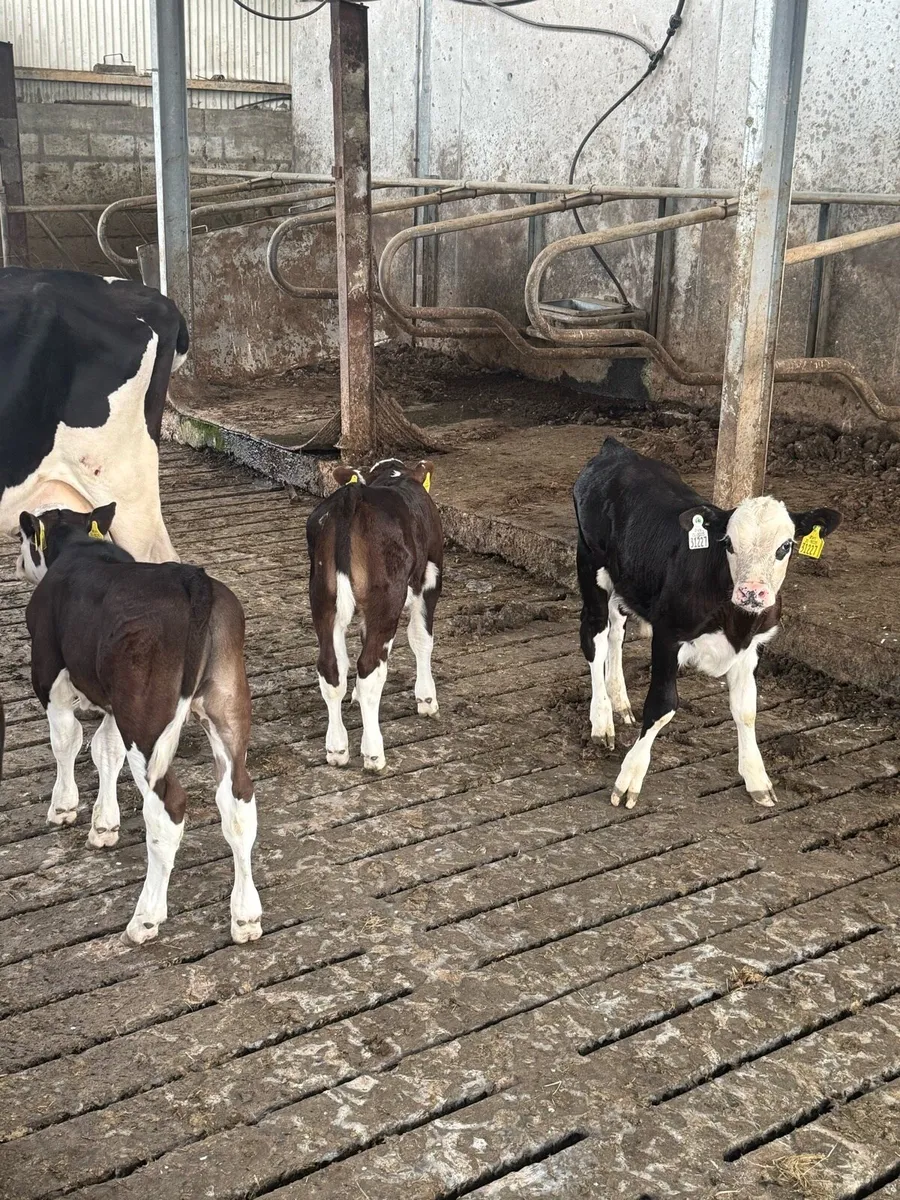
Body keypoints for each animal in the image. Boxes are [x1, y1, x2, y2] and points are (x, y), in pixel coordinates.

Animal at [18, 502, 261, 946]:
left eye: (23, 537)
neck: (80, 546)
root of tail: (194, 580)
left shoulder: (49, 674)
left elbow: (67, 740)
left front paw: (64, 807)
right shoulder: (116, 705)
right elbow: (105, 749)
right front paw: (104, 824)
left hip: (147, 723)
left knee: (168, 808)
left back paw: (146, 917)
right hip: (225, 707)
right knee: (238, 800)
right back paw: (246, 916)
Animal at [306, 458, 442, 772]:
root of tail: (352, 496)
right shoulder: (430, 578)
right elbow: (421, 638)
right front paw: (427, 698)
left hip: (322, 598)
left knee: (331, 668)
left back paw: (337, 748)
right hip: (386, 598)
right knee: (370, 668)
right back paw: (373, 753)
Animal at [573, 437, 840, 809]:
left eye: (786, 546)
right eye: (728, 543)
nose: (752, 591)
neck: (734, 620)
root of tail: (616, 450)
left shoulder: (752, 647)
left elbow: (746, 710)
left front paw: (757, 778)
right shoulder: (668, 634)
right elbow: (662, 705)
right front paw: (629, 779)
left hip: (628, 578)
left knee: (616, 630)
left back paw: (620, 702)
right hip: (590, 563)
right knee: (595, 635)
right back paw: (601, 720)